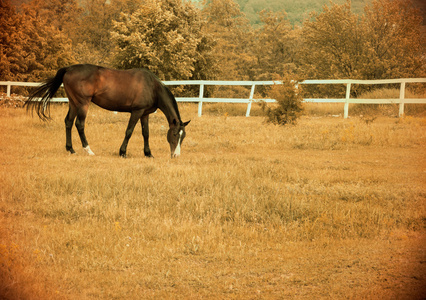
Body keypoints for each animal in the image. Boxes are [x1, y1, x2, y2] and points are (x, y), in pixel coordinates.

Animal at [23, 64, 190, 158]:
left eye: (183, 136)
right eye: (175, 134)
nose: (176, 155)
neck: (152, 86)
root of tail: (69, 69)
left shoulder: (145, 114)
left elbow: (146, 133)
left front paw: (148, 153)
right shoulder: (136, 112)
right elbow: (129, 131)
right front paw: (122, 152)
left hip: (73, 103)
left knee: (68, 122)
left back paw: (71, 150)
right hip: (83, 104)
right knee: (79, 125)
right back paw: (88, 150)